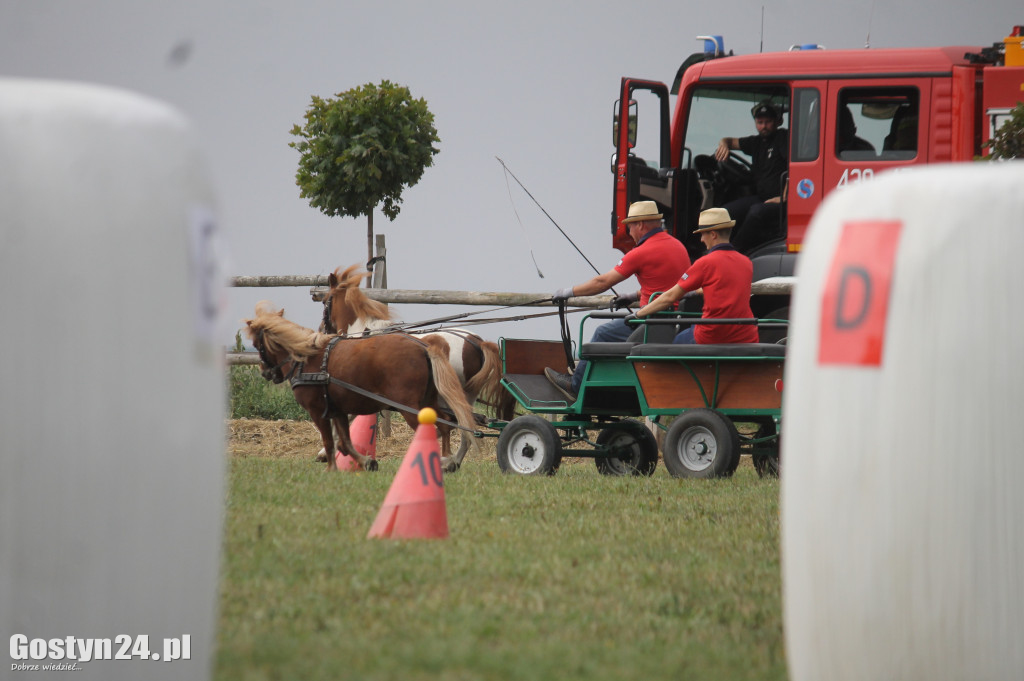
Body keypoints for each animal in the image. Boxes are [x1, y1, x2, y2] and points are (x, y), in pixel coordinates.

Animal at [244, 303, 479, 473]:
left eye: (257, 344)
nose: (265, 372)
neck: (308, 359)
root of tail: (425, 348)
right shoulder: (337, 410)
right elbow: (345, 443)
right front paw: (367, 462)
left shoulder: (317, 411)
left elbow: (329, 441)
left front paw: (331, 468)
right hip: (428, 402)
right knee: (446, 425)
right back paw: (447, 460)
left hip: (410, 407)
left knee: (437, 429)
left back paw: (438, 461)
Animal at [317, 262, 512, 471]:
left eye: (325, 301)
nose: (322, 330)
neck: (366, 333)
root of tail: (476, 341)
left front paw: (325, 452)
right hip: (462, 396)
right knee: (464, 427)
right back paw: (451, 460)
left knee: (460, 427)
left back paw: (447, 460)